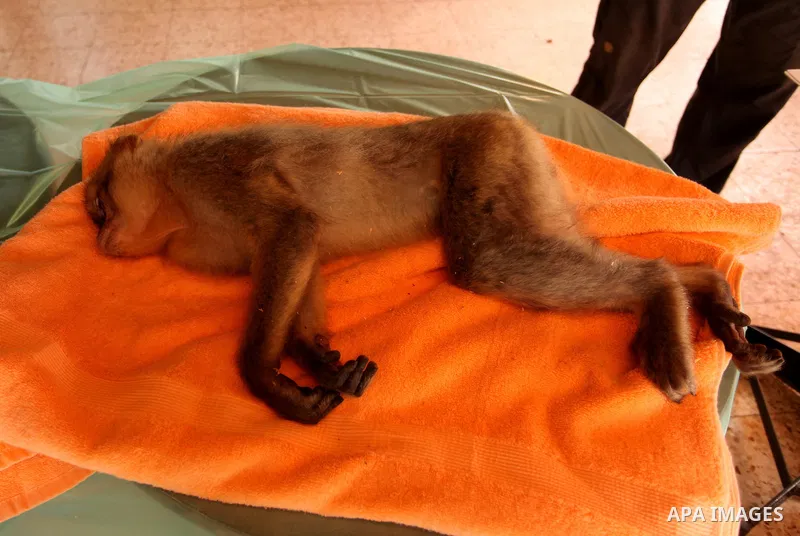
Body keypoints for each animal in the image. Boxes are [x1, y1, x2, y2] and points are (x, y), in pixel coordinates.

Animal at [83, 111, 783, 424]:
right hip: (533, 183)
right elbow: (303, 256)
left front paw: (268, 379)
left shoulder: (217, 171)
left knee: (488, 262)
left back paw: (664, 290)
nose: (101, 239)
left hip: (491, 153)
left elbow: (294, 230)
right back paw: (703, 290)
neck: (177, 208)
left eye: (97, 205)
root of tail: (514, 123)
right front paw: (318, 361)